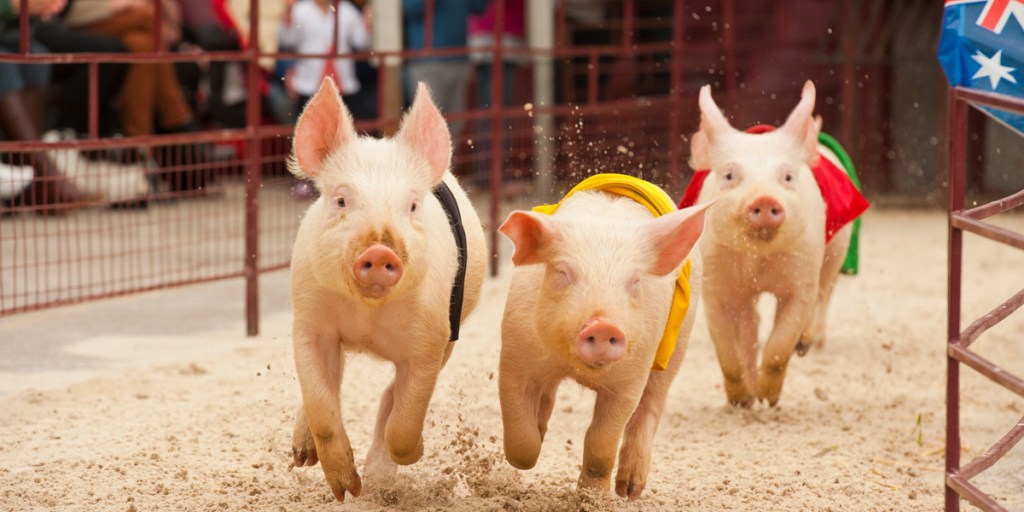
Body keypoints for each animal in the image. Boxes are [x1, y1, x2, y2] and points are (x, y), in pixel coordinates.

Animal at [286, 77, 486, 501]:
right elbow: (321, 404)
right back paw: (302, 455)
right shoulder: (309, 323)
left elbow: (404, 420)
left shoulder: (432, 337)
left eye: (411, 206)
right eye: (341, 199)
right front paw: (346, 489)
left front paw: (396, 468)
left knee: (389, 395)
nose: (379, 250)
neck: (368, 319)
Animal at [498, 189, 709, 499]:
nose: (603, 325)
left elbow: (601, 442)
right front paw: (530, 456)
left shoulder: (630, 379)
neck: (575, 368)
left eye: (635, 281)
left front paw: (593, 496)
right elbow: (520, 437)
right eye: (562, 273)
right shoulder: (515, 356)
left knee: (653, 402)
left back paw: (629, 490)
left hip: (678, 340)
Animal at [688, 81, 860, 407]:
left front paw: (769, 400)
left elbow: (780, 347)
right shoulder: (716, 283)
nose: (765, 199)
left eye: (788, 176)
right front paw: (742, 400)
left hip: (835, 252)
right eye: (729, 175)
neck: (757, 260)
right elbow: (727, 350)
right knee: (752, 321)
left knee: (824, 294)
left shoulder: (801, 274)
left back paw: (805, 345)